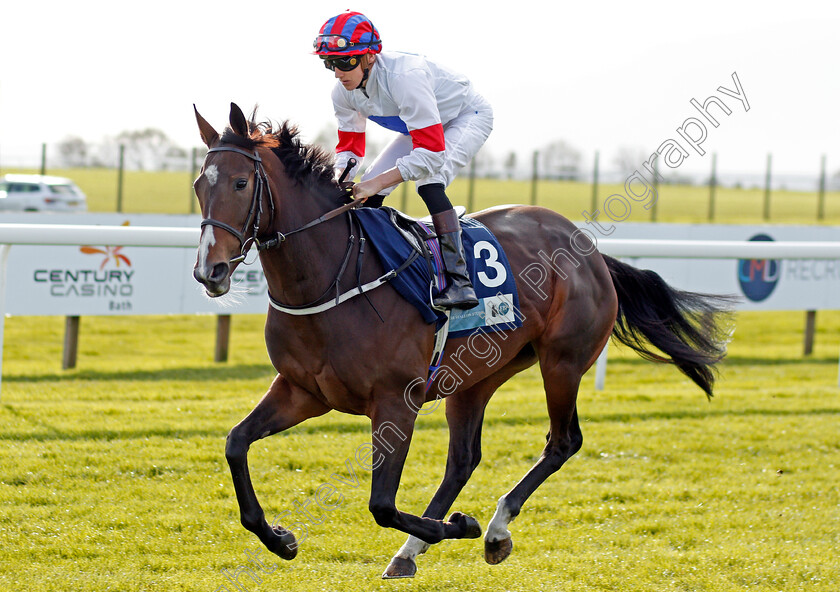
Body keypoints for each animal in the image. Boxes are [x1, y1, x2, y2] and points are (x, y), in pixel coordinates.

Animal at [190, 102, 728, 580]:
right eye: (198, 185)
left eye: (240, 183)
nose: (209, 271)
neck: (331, 279)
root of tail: (591, 250)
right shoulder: (303, 391)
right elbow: (236, 443)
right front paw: (279, 539)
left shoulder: (396, 401)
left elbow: (382, 504)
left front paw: (462, 525)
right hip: (476, 375)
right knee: (464, 459)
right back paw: (411, 551)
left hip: (562, 361)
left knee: (562, 441)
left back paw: (493, 529)